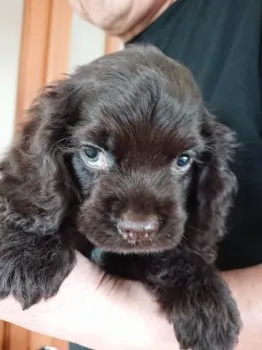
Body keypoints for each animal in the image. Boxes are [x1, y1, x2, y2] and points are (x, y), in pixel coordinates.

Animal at [0, 45, 242, 348]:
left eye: (183, 160)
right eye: (92, 154)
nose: (138, 230)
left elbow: (173, 251)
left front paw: (206, 298)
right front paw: (28, 250)